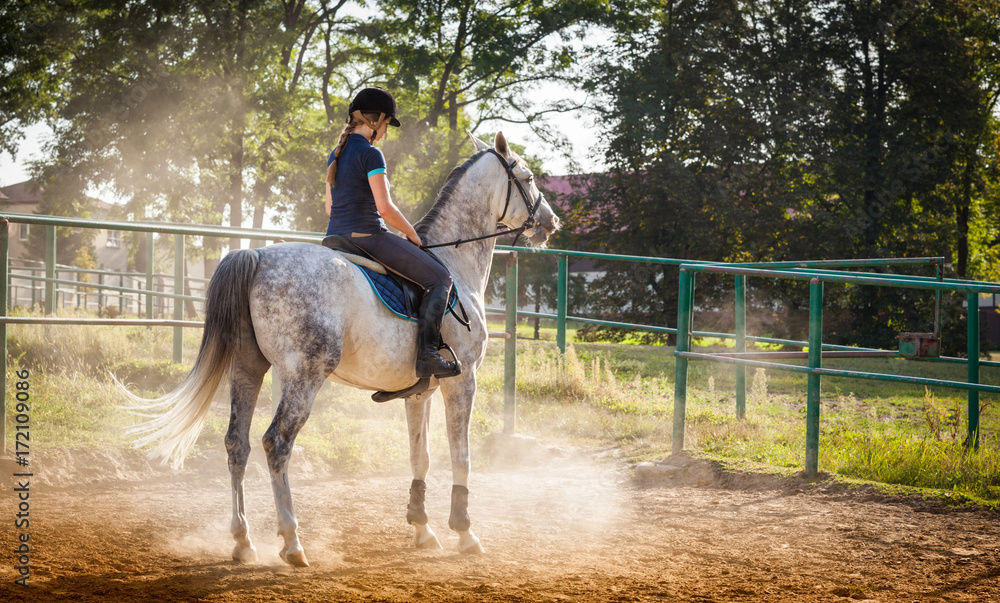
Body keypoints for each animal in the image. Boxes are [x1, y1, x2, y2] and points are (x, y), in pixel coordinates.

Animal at [119, 131, 564, 568]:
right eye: (527, 177)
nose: (551, 222)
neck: (454, 263)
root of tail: (257, 253)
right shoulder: (463, 381)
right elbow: (461, 456)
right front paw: (464, 532)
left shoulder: (420, 391)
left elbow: (419, 456)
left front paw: (422, 529)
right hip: (305, 375)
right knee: (276, 443)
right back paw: (292, 542)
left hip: (247, 369)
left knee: (236, 444)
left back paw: (243, 541)